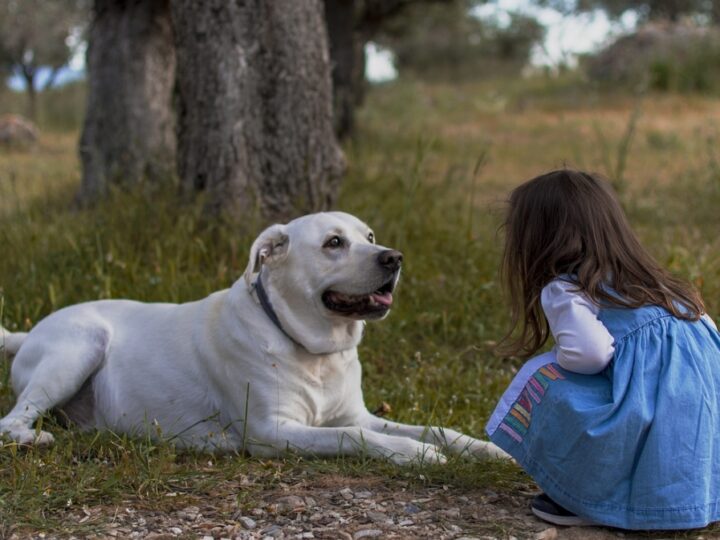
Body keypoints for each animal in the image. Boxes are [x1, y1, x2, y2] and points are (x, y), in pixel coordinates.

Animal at [1, 211, 506, 464]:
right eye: (334, 243)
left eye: (369, 236)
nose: (394, 258)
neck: (314, 351)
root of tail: (29, 332)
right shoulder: (273, 431)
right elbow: (355, 438)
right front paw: (417, 454)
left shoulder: (355, 414)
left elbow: (434, 428)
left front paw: (485, 449)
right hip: (80, 346)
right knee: (11, 421)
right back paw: (34, 440)